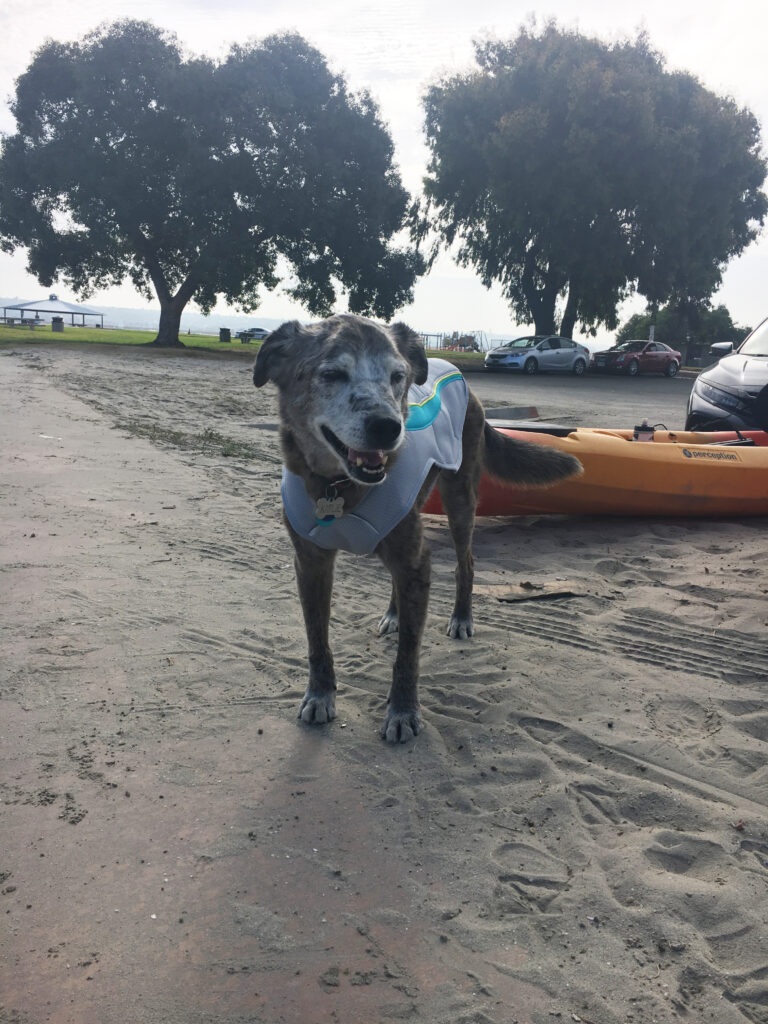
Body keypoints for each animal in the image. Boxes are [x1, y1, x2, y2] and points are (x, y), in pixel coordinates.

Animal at [253, 311, 581, 745]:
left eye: (397, 376)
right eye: (332, 374)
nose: (388, 427)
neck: (339, 487)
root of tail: (457, 373)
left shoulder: (414, 559)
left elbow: (407, 652)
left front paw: (403, 711)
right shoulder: (311, 563)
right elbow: (316, 638)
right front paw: (320, 695)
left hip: (459, 499)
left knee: (466, 563)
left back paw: (461, 617)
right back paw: (394, 614)